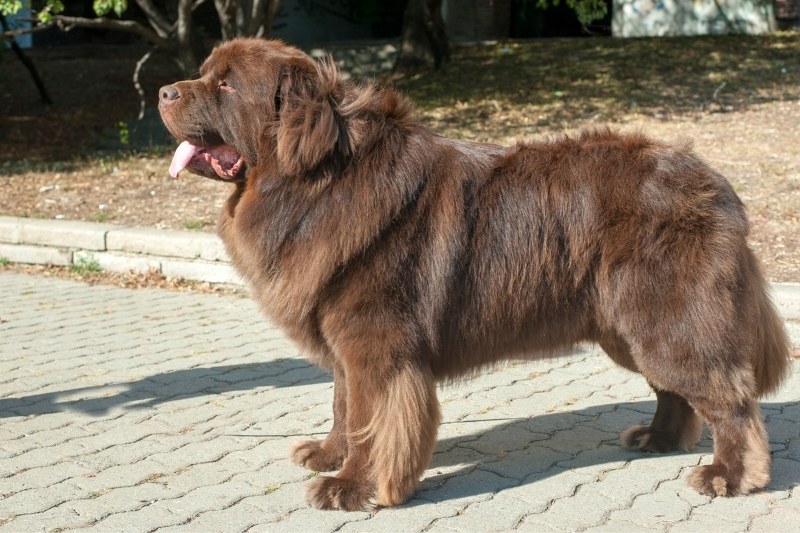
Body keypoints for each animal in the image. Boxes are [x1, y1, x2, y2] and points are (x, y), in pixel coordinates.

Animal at [159, 38, 792, 512]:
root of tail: (716, 182)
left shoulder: (377, 347)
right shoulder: (345, 343)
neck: (314, 182)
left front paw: (350, 486)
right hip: (629, 328)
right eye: (205, 75)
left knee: (728, 397)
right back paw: (658, 439)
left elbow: (371, 418)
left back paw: (730, 475)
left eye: (226, 86)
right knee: (677, 391)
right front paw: (328, 455)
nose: (164, 90)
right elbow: (343, 406)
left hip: (666, 319)